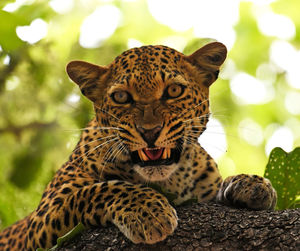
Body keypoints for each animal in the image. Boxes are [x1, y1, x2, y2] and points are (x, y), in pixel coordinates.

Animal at [0, 42, 276, 250]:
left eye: (173, 90)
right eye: (121, 97)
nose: (149, 131)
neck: (170, 181)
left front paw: (252, 184)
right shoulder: (43, 215)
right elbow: (99, 189)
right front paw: (148, 212)